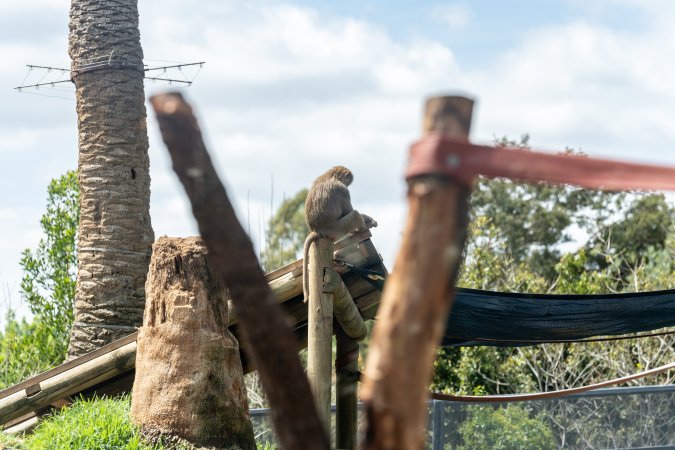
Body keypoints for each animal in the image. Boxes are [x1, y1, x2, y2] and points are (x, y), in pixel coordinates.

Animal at [303, 166, 377, 302]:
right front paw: (369, 220)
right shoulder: (343, 191)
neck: (331, 175)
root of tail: (317, 230)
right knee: (354, 215)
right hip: (336, 229)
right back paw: (361, 228)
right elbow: (349, 211)